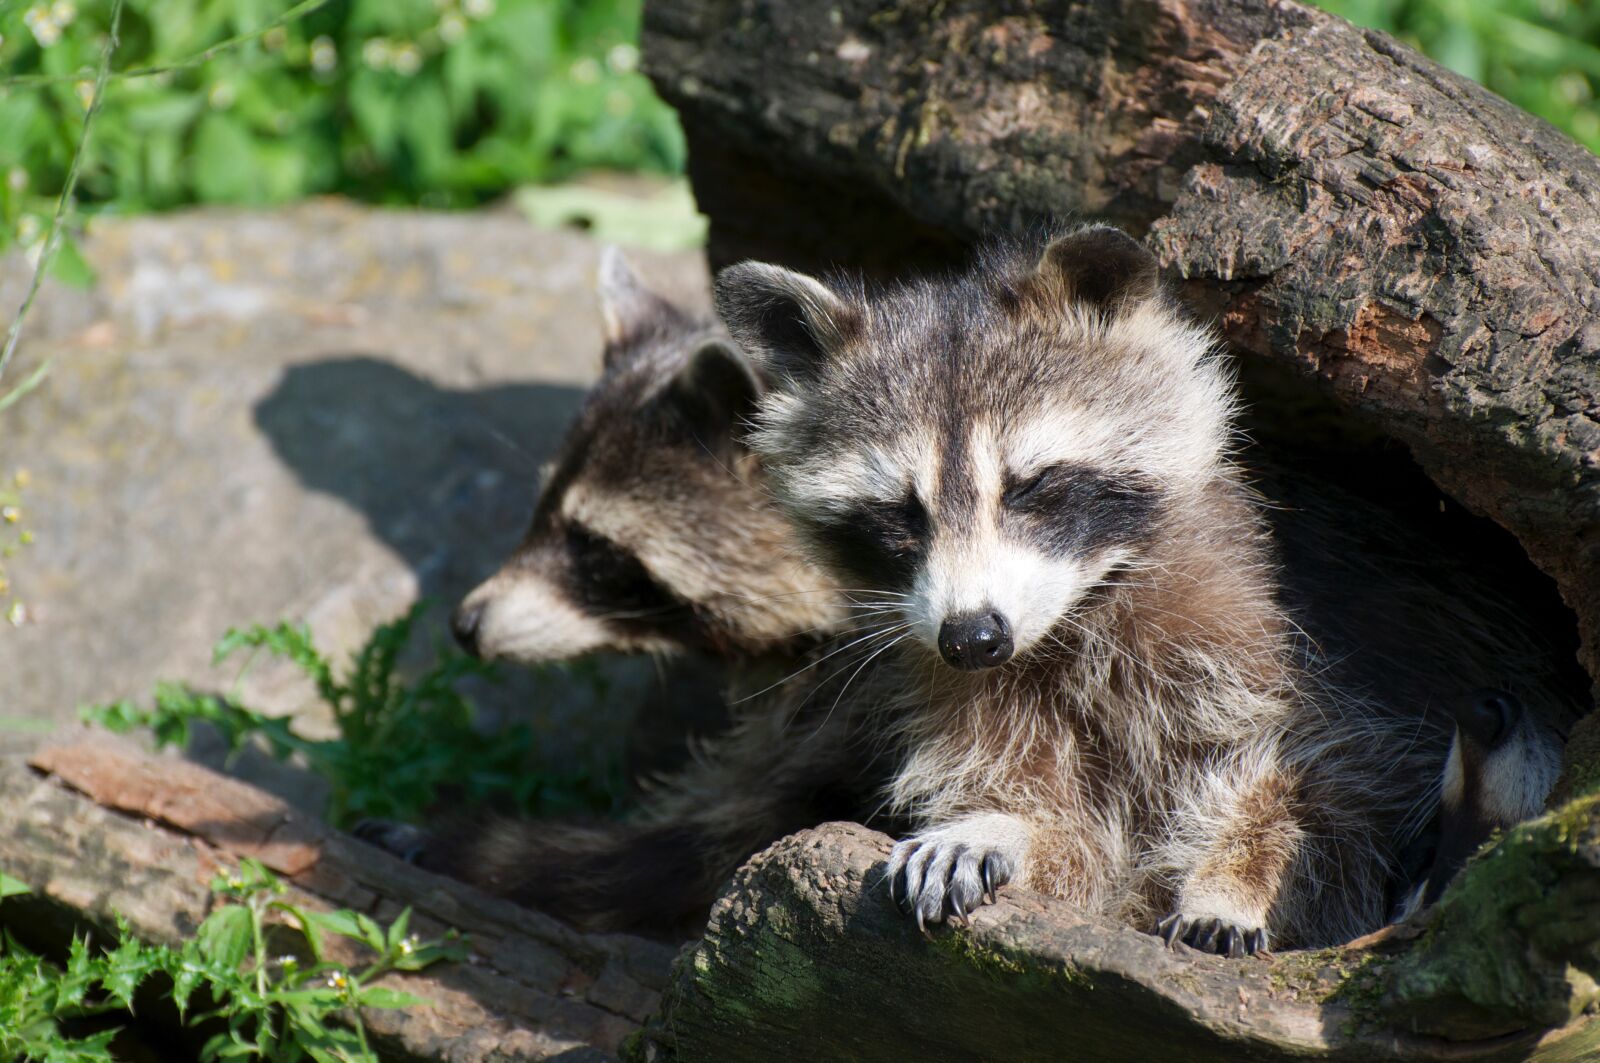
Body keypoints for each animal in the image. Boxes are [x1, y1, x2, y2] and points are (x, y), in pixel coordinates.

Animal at [716, 226, 1577, 953]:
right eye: (899, 513)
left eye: (1031, 488)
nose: (974, 636)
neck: (1078, 613)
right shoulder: (959, 681)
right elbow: (1085, 849)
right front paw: (1008, 825)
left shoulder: (1291, 634)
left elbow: (1334, 787)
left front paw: (1241, 873)